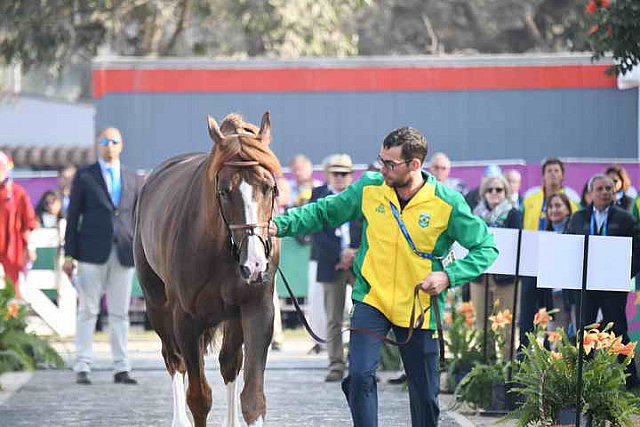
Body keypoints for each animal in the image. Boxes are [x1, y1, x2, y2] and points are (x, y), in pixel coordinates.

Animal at [134, 112, 280, 426]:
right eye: (224, 191)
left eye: (269, 187)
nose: (254, 263)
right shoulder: (187, 321)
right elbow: (199, 398)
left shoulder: (257, 310)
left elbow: (253, 398)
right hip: (157, 305)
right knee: (174, 360)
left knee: (229, 363)